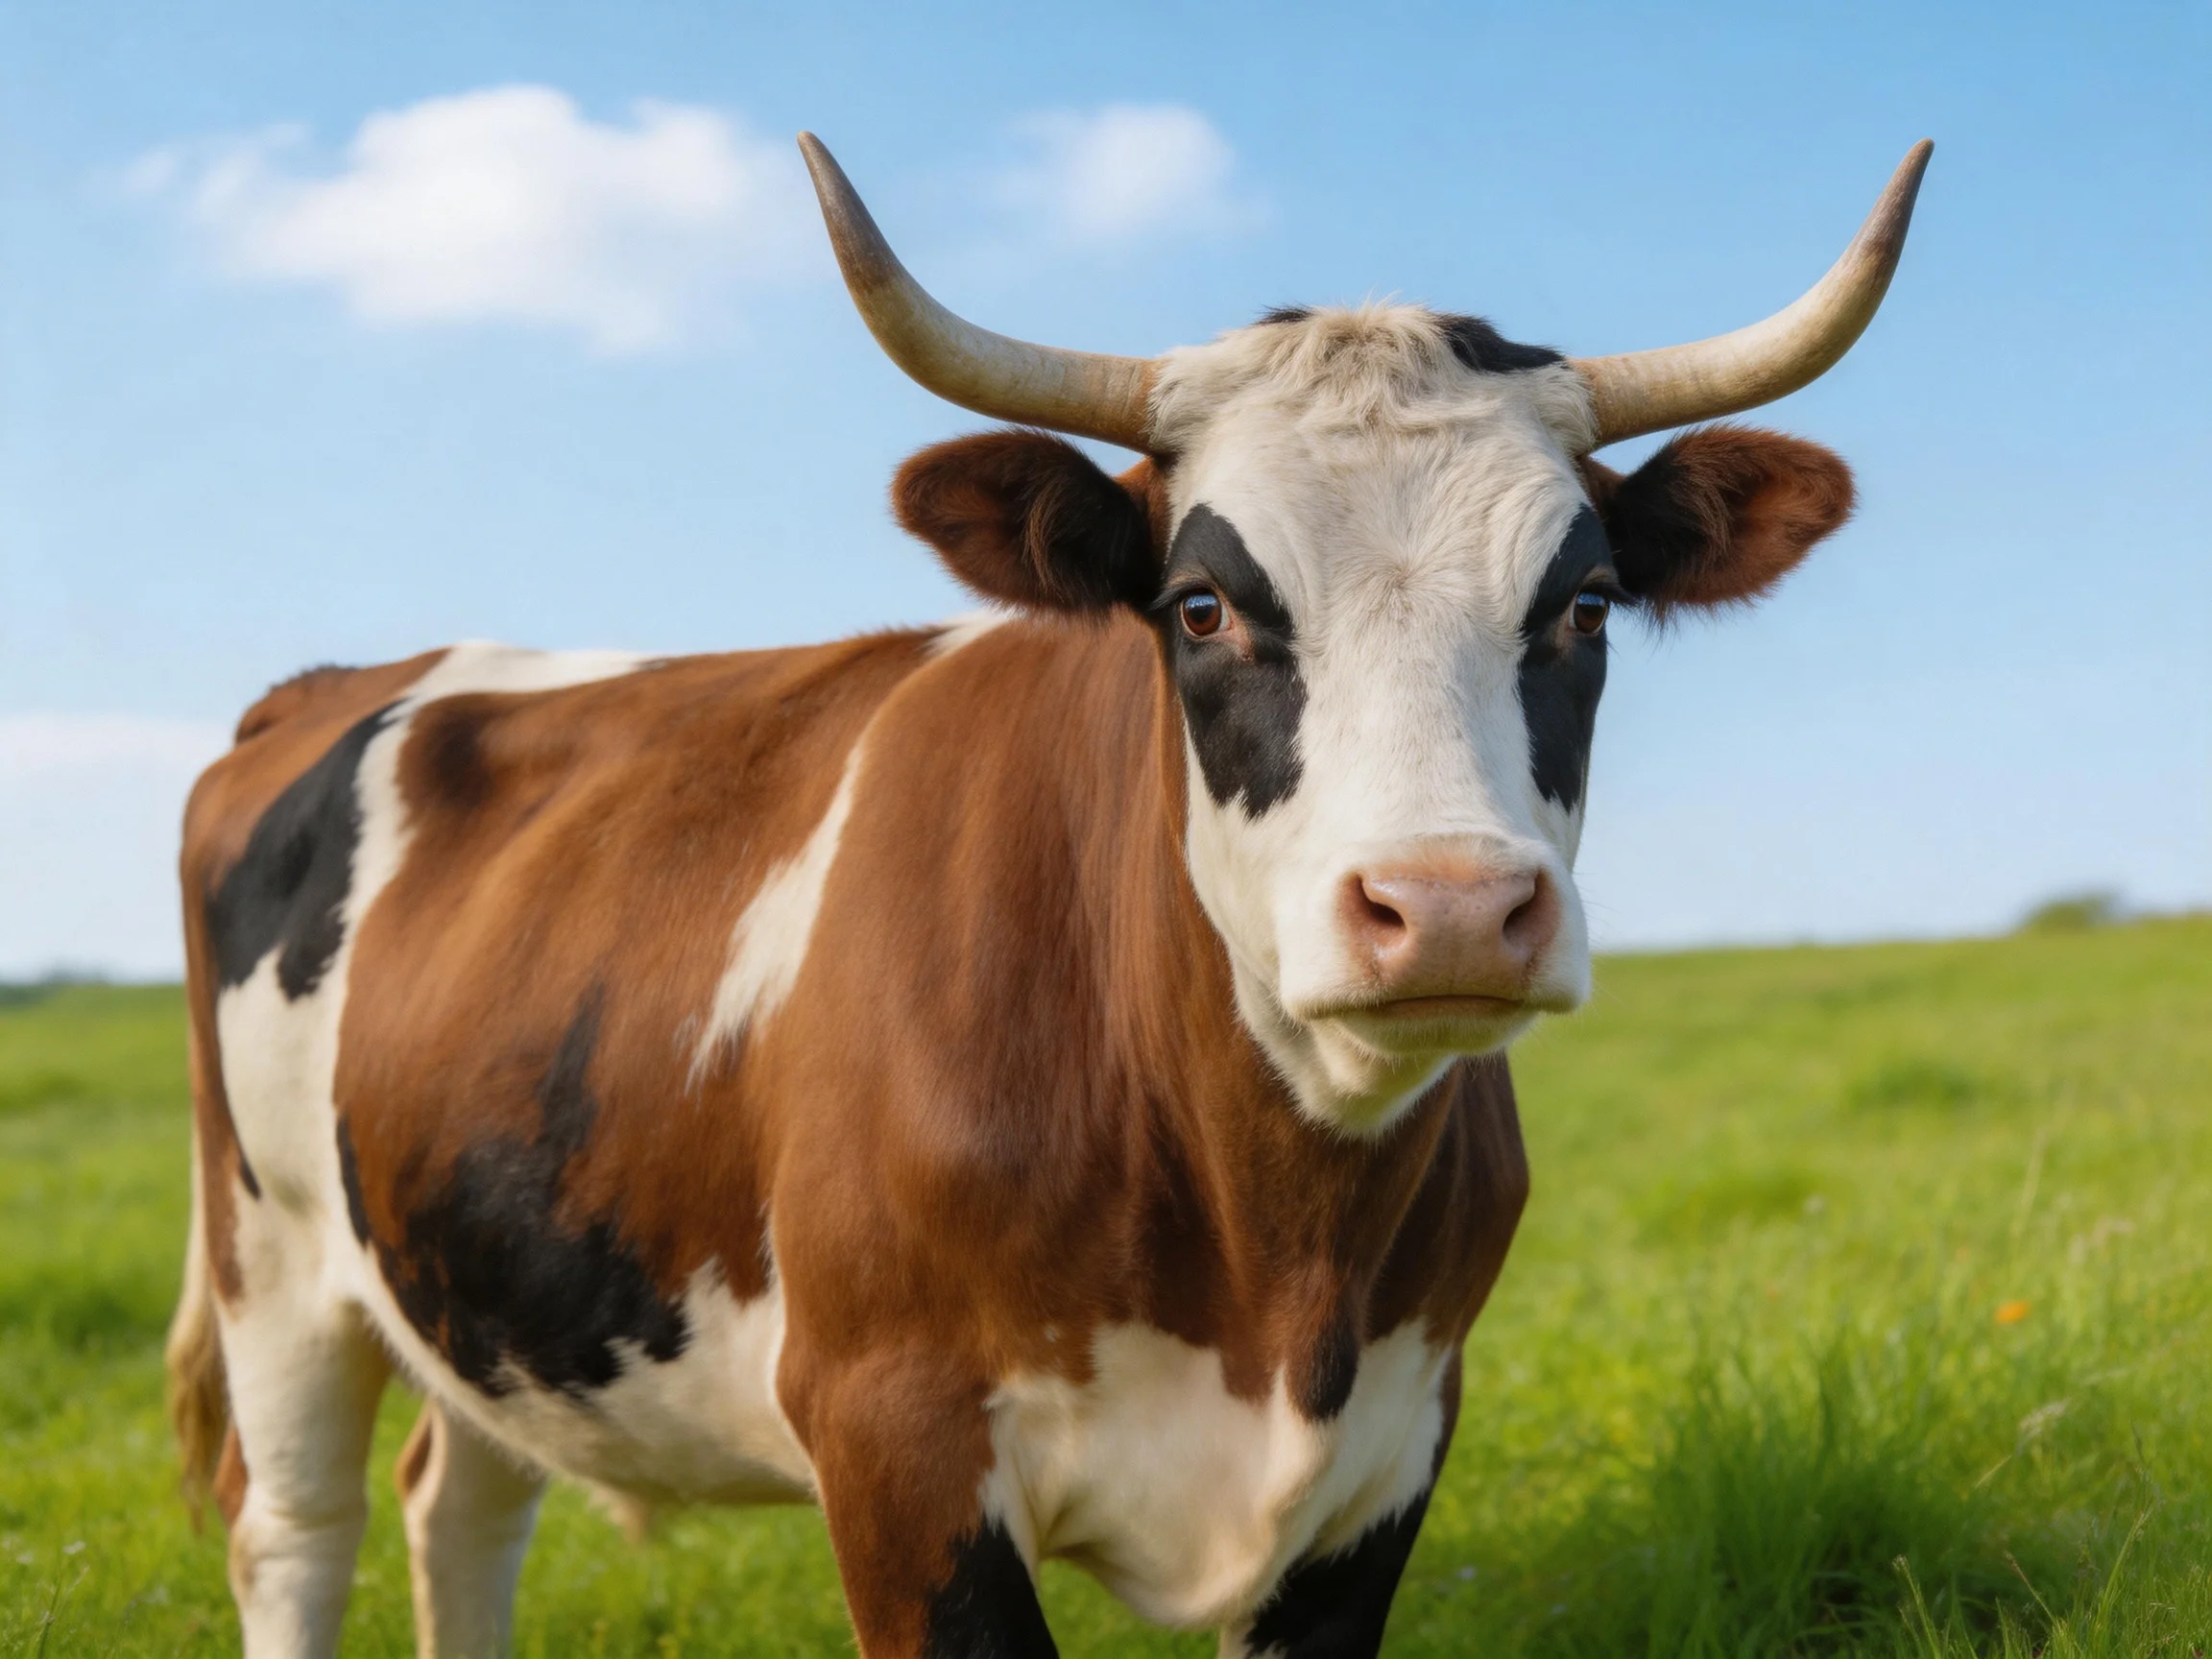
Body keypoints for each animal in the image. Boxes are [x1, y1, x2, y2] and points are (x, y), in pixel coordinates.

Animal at [165, 134, 1929, 1658]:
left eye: (1586, 603)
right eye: (1200, 603)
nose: (1442, 908)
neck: (1269, 1250)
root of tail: (346, 683)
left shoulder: (1388, 1455)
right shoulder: (894, 1449)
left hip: (485, 1278)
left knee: (460, 1507)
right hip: (276, 1266)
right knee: (295, 1532)